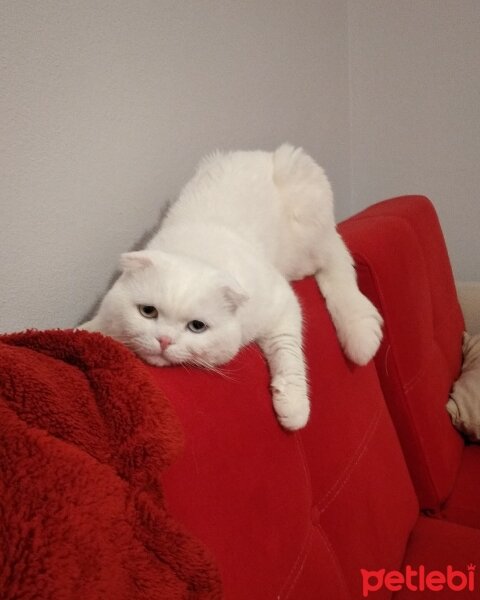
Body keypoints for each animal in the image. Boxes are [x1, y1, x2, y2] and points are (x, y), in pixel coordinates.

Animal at [81, 146, 382, 432]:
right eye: (148, 312)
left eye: (197, 327)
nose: (164, 340)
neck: (197, 253)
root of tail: (264, 154)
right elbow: (94, 326)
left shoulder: (283, 303)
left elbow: (287, 351)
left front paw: (294, 407)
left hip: (307, 237)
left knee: (332, 261)